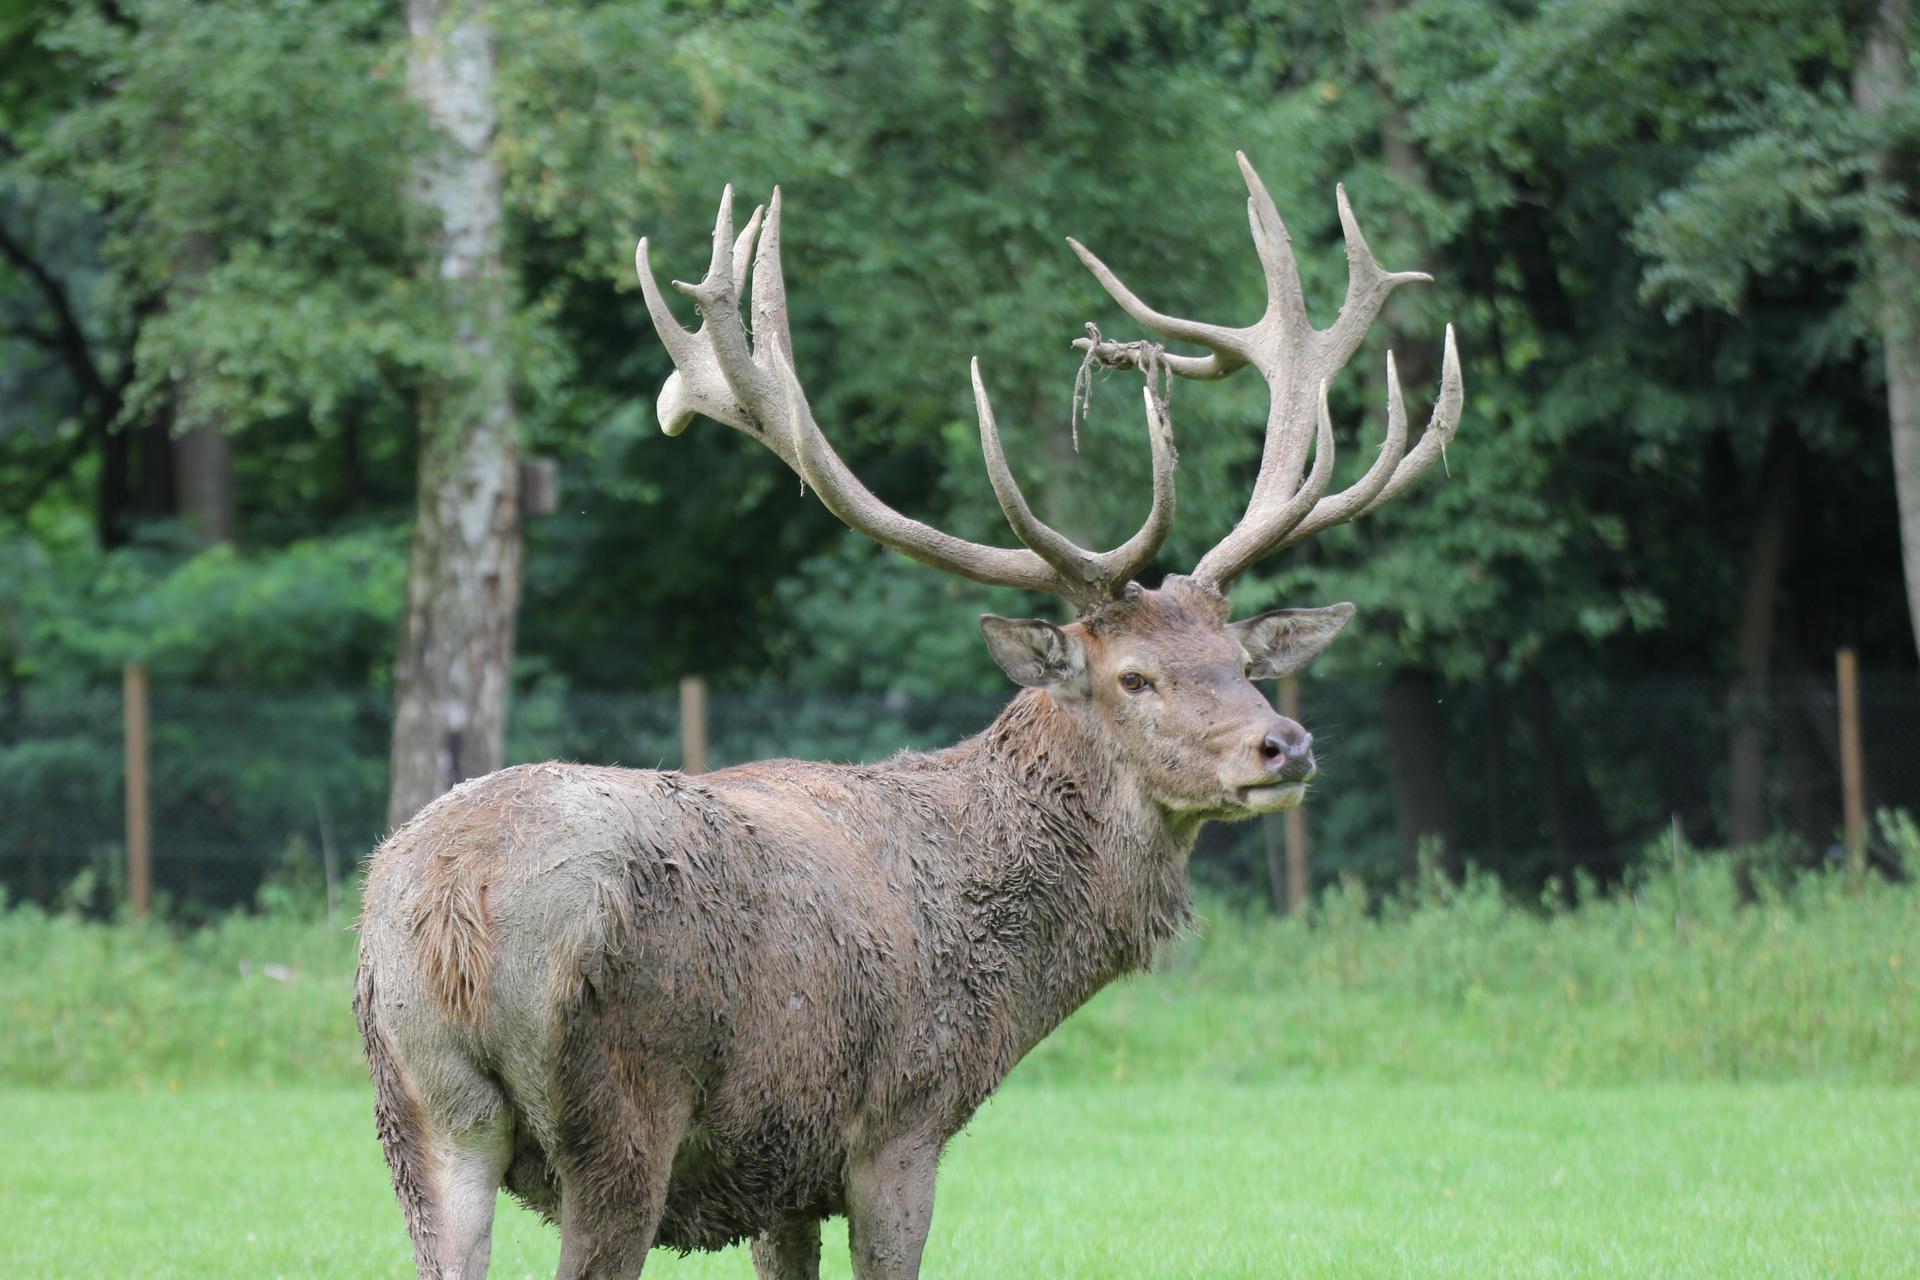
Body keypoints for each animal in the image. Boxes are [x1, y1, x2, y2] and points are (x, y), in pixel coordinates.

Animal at [357, 152, 1451, 1280]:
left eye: (1241, 663)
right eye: (1135, 678)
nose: (1286, 744)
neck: (1013, 981)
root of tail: (451, 909)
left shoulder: (780, 1166)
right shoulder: (899, 1124)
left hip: (418, 1110)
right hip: (623, 1096)